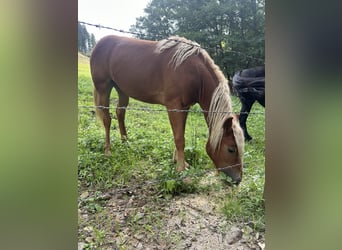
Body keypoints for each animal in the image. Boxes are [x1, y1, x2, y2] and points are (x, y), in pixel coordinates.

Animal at [89, 35, 244, 184]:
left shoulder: (184, 107)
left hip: (121, 90)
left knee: (120, 113)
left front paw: (179, 162)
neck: (193, 72)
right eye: (231, 149)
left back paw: (125, 142)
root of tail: (99, 43)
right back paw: (108, 150)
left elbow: (180, 133)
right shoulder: (174, 106)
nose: (238, 180)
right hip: (103, 88)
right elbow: (179, 138)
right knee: (107, 119)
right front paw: (181, 169)